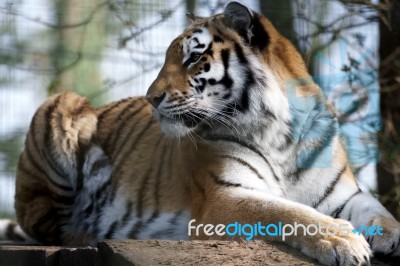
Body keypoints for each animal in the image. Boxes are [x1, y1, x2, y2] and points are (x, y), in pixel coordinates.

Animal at [3, 1, 400, 264]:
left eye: (192, 58)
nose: (151, 98)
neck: (281, 135)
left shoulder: (344, 194)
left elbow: (378, 210)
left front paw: (390, 236)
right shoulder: (226, 196)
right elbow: (288, 213)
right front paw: (345, 242)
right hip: (64, 106)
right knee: (53, 226)